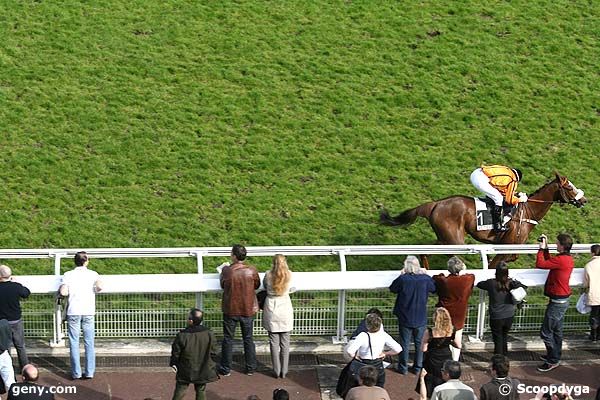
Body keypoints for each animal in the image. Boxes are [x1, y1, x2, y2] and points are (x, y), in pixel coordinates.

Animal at [380, 172, 584, 268]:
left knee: (425, 252)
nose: (584, 200)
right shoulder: (506, 245)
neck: (528, 211)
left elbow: (512, 257)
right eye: (570, 187)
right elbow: (495, 264)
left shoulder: (510, 246)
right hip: (455, 240)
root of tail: (435, 204)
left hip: (445, 238)